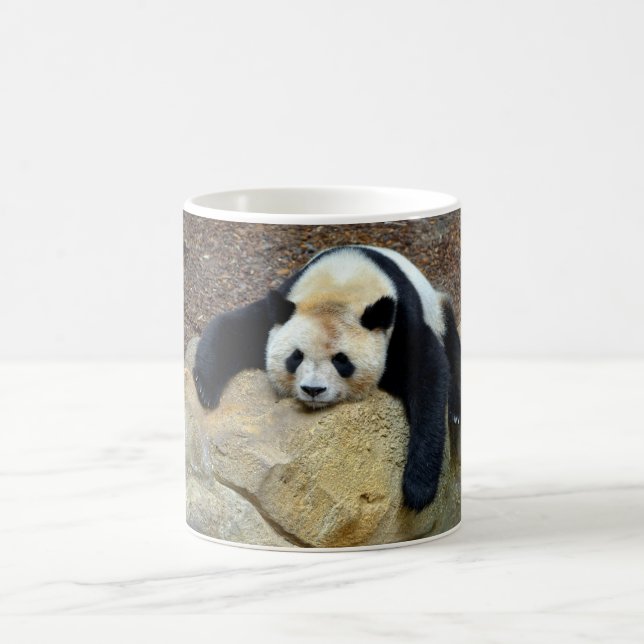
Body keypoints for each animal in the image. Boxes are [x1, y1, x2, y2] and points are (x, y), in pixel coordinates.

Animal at [193, 245, 460, 512]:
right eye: (296, 356)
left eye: (341, 360)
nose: (313, 390)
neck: (341, 281)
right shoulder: (284, 302)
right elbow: (236, 327)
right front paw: (206, 388)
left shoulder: (401, 321)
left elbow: (428, 374)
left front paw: (418, 488)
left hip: (438, 309)